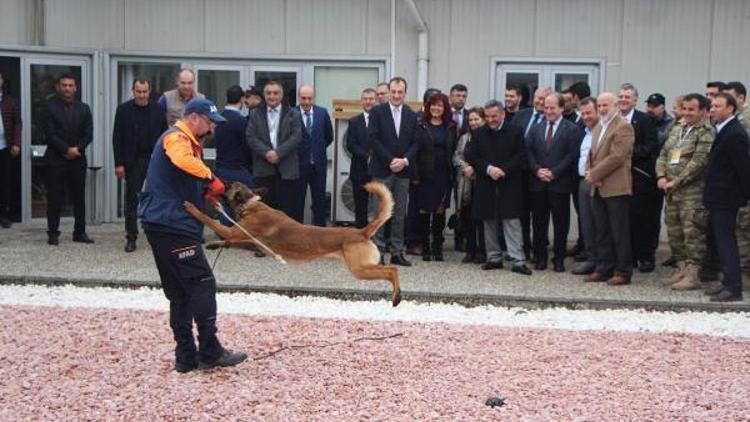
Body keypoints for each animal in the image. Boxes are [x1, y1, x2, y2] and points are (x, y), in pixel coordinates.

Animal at [184, 181, 402, 306]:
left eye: (228, 185)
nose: (208, 184)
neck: (252, 205)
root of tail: (361, 231)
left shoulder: (234, 230)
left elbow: (209, 220)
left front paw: (192, 208)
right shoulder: (251, 242)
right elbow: (230, 241)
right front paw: (215, 245)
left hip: (360, 269)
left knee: (392, 270)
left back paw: (396, 296)